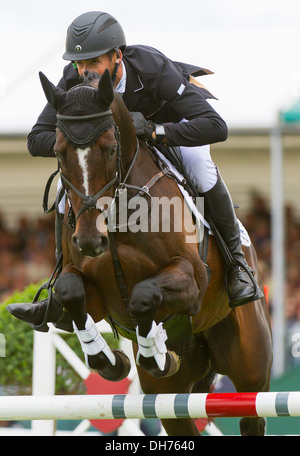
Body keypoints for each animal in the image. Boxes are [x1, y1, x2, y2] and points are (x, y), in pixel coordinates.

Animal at [37, 69, 272, 436]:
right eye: (60, 153)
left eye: (111, 149)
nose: (90, 241)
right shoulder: (95, 295)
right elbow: (70, 291)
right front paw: (110, 361)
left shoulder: (192, 281)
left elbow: (144, 295)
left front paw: (155, 353)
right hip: (171, 401)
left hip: (250, 365)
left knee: (252, 414)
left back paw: (238, 285)